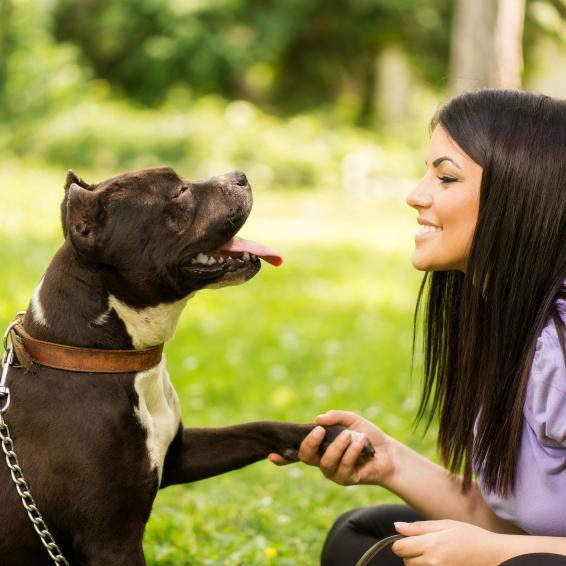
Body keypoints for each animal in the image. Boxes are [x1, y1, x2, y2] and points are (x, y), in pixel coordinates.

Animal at [0, 169, 374, 566]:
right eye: (179, 193)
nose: (240, 174)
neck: (93, 357)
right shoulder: (111, 540)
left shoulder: (180, 455)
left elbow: (257, 428)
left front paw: (334, 436)